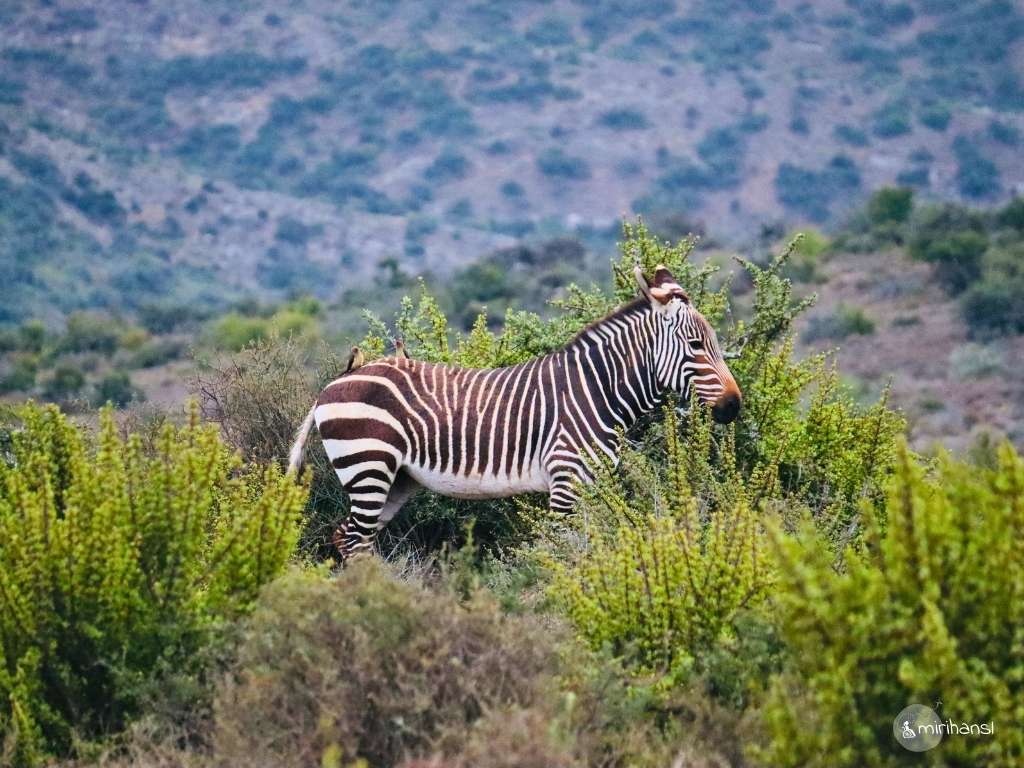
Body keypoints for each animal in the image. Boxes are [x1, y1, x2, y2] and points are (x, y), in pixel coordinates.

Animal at [288, 264, 742, 560]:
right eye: (696, 346)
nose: (733, 407)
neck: (598, 390)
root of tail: (332, 384)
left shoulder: (591, 484)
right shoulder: (566, 480)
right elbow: (566, 555)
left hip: (396, 479)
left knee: (352, 539)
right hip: (368, 465)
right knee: (352, 540)